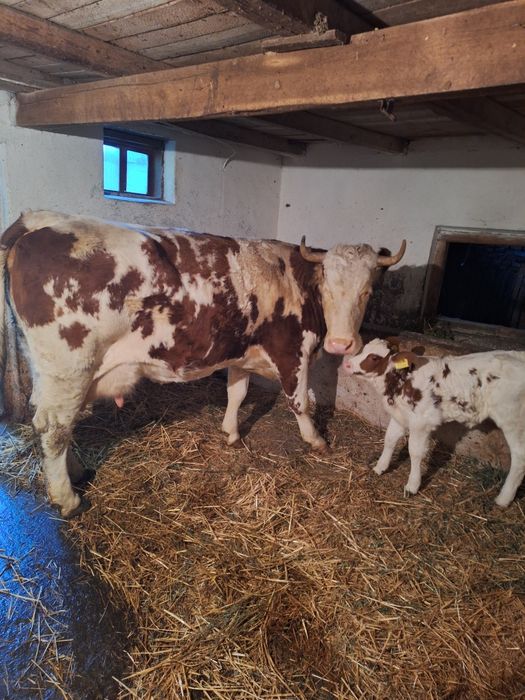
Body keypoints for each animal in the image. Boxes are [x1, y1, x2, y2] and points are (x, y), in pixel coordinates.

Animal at [0, 211, 406, 517]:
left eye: (367, 290)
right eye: (327, 288)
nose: (342, 343)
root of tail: (42, 221)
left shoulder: (240, 351)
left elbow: (237, 393)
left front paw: (231, 433)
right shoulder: (294, 353)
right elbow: (300, 402)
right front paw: (317, 440)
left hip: (52, 371)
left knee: (56, 423)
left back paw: (77, 472)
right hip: (70, 366)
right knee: (54, 428)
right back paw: (68, 499)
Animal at [343, 338, 525, 507]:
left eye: (374, 357)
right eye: (364, 348)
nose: (347, 364)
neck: (403, 379)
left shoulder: (421, 422)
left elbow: (415, 452)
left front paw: (412, 486)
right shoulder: (400, 416)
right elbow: (389, 440)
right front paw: (380, 467)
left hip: (513, 420)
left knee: (519, 457)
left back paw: (503, 499)